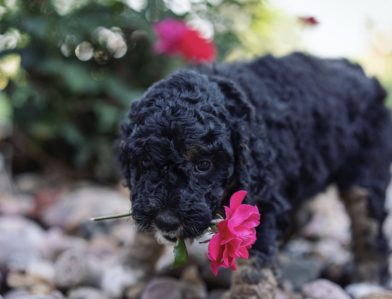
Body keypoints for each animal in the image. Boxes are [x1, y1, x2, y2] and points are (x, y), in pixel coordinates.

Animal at [119, 52, 392, 298]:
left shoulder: (260, 196)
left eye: (203, 165)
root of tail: (363, 74)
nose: (166, 221)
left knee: (367, 225)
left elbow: (254, 266)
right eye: (144, 161)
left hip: (367, 169)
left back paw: (368, 281)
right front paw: (130, 270)